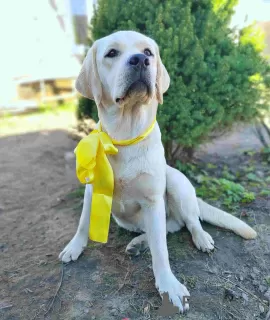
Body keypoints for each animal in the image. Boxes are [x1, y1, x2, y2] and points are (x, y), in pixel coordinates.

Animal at [59, 30, 258, 312]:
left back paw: (200, 238)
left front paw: (169, 286)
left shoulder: (153, 200)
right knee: (166, 228)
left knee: (188, 222)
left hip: (175, 183)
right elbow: (83, 222)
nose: (140, 60)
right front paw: (74, 247)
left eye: (148, 51)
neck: (124, 137)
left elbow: (162, 251)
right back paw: (138, 243)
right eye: (111, 53)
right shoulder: (92, 190)